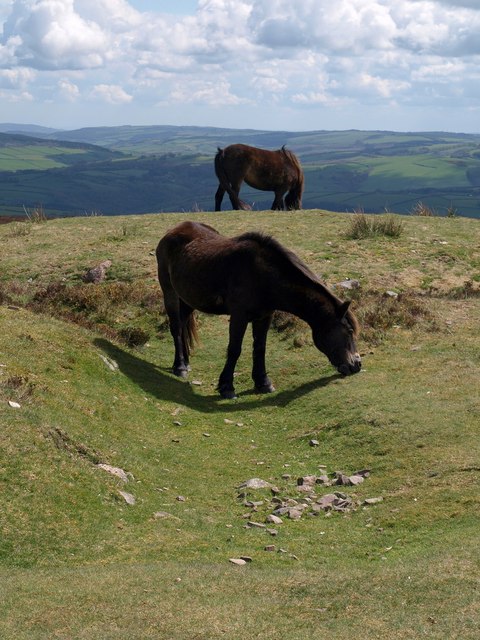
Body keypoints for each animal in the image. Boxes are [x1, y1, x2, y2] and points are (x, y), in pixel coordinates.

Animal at [156, 221, 361, 399]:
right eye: (349, 331)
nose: (357, 365)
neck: (263, 277)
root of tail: (173, 231)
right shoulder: (239, 316)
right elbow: (234, 349)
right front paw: (226, 387)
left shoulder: (264, 316)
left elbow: (260, 348)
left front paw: (263, 382)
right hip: (170, 292)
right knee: (176, 328)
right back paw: (180, 366)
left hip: (188, 299)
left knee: (183, 325)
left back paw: (186, 362)